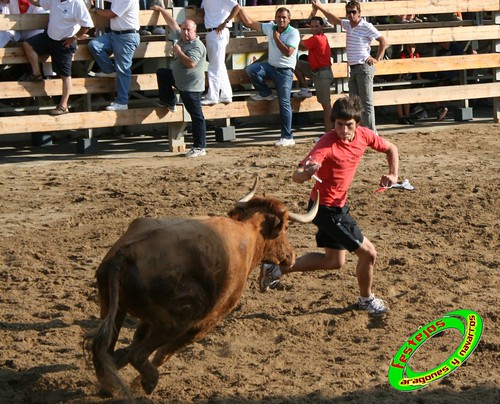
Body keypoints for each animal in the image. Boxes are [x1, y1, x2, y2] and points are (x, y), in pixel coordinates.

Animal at [82, 178, 316, 396]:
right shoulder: (206, 322)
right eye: (286, 228)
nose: (291, 255)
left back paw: (110, 386)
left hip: (114, 308)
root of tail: (125, 253)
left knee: (106, 351)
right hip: (176, 322)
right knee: (138, 354)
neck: (247, 234)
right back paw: (148, 381)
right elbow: (164, 352)